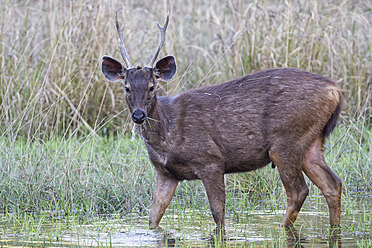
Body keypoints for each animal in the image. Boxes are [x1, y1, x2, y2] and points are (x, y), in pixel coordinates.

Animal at [101, 13, 342, 231]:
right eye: (126, 88)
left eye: (152, 87)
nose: (139, 115)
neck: (167, 133)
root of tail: (334, 90)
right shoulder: (165, 173)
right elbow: (153, 219)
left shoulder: (210, 160)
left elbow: (218, 215)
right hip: (312, 142)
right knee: (333, 184)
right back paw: (334, 229)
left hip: (286, 141)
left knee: (298, 191)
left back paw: (285, 229)